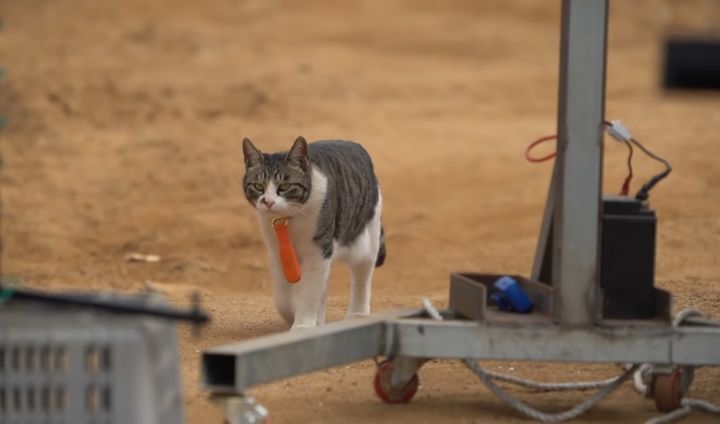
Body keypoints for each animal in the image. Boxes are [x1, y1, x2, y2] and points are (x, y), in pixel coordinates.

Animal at [242, 136, 386, 332]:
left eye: (284, 186)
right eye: (258, 186)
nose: (268, 202)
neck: (288, 220)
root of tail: (354, 144)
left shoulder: (317, 252)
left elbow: (309, 292)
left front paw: (302, 325)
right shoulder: (277, 253)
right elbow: (283, 297)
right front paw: (299, 317)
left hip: (366, 240)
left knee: (361, 278)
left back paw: (357, 315)